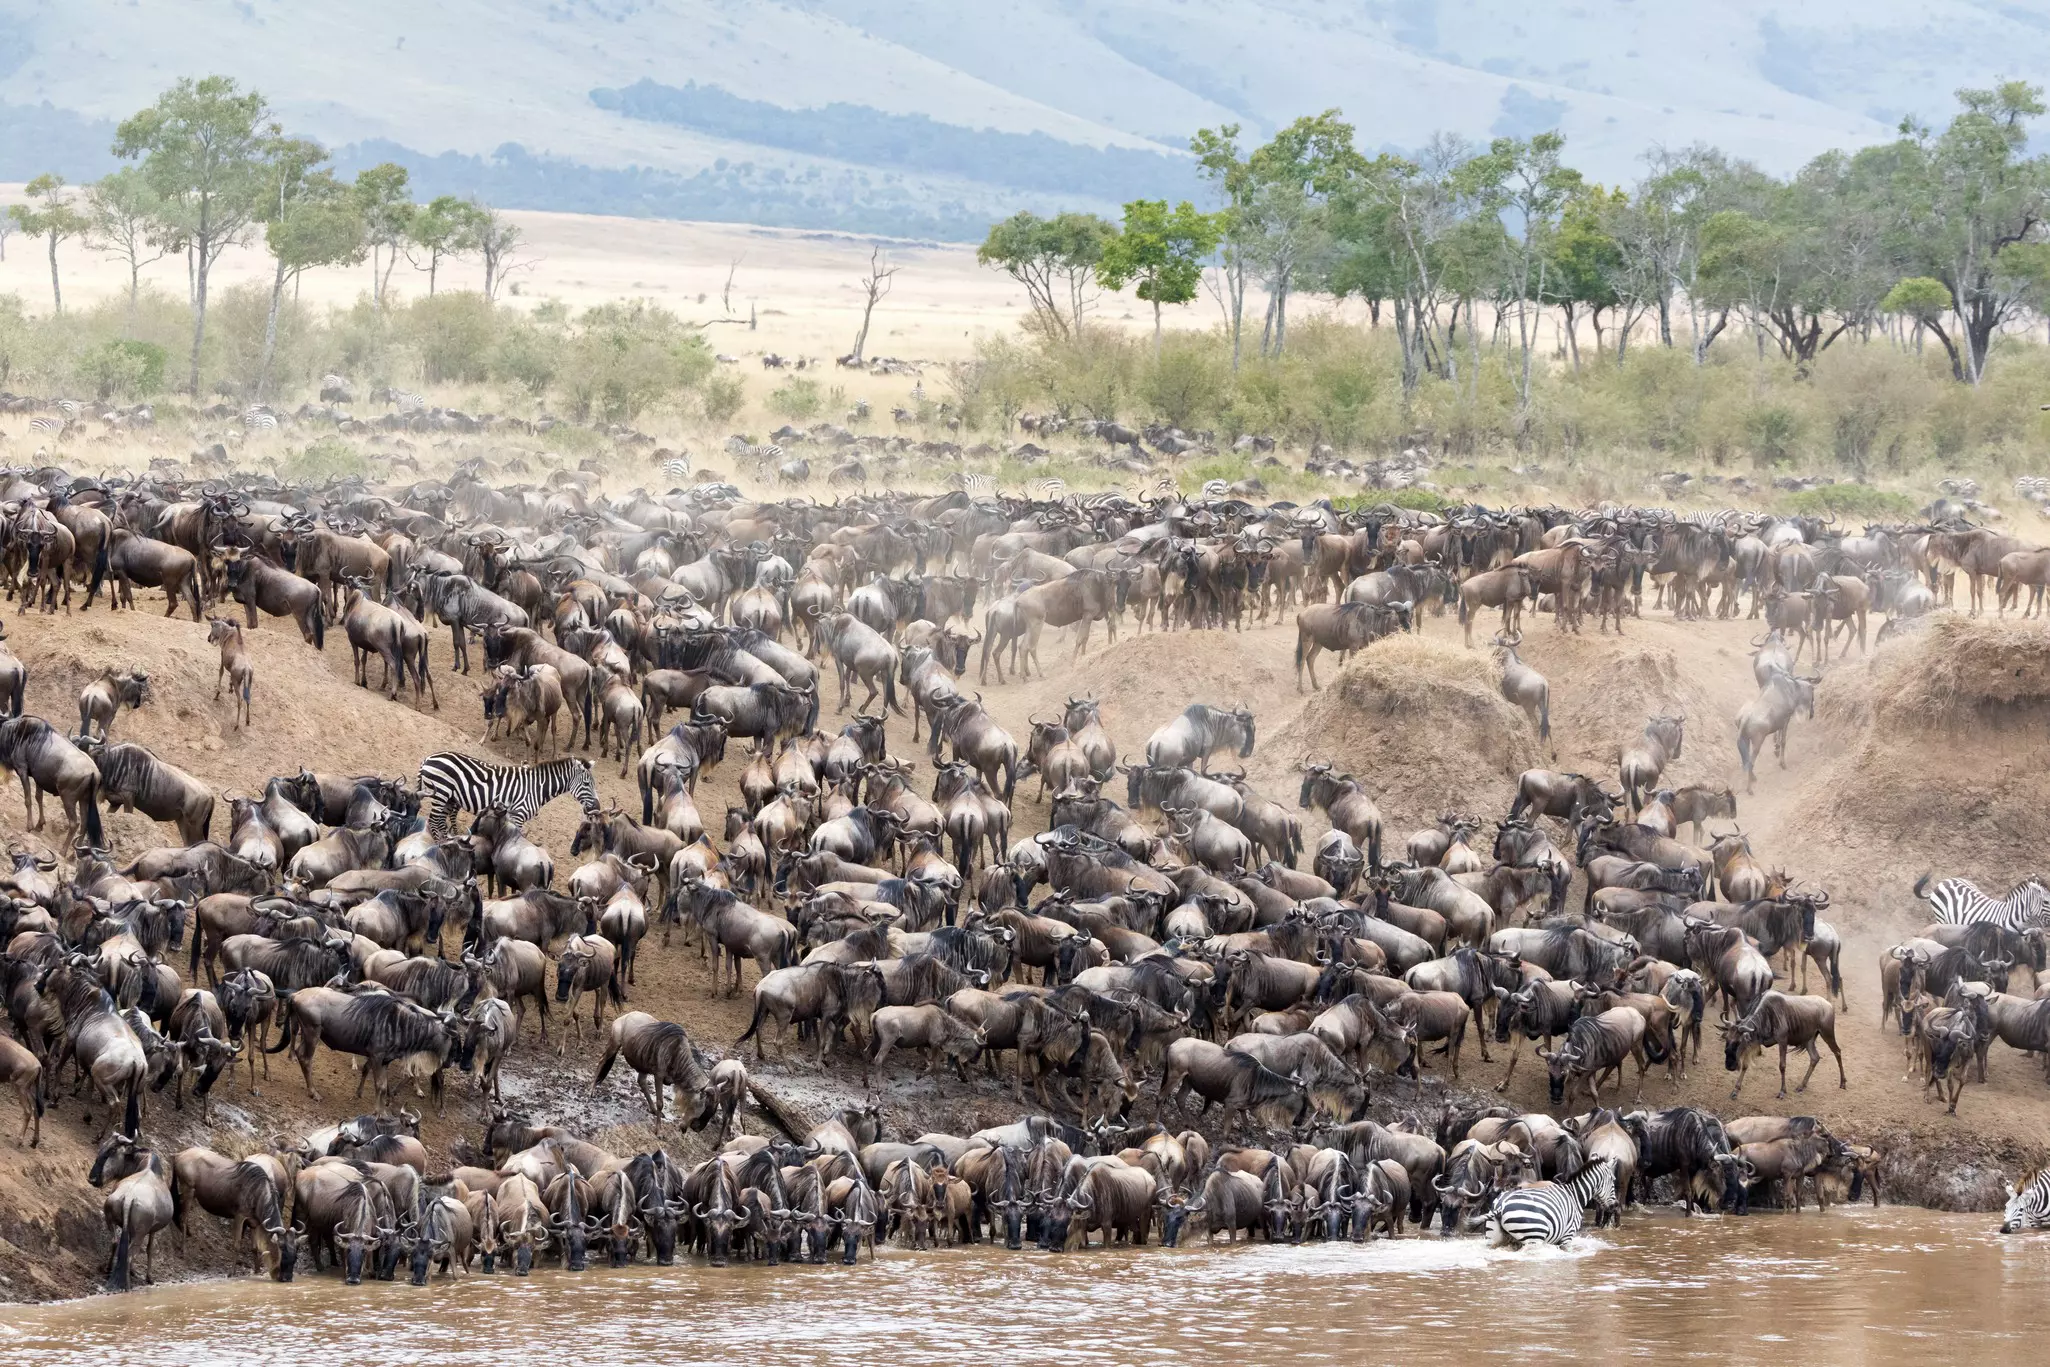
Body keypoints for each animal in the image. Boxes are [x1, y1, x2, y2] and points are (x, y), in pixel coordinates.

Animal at [417, 752, 599, 840]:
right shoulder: (518, 815)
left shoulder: (511, 815)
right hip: (441, 793)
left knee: (440, 821)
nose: (597, 808)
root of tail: (428, 758)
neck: (537, 788)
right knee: (433, 821)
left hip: (448, 797)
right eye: (586, 784)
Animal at [1488, 1157, 1616, 1248]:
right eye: (1613, 1180)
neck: (1574, 1195)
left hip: (1493, 1238)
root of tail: (1501, 1205)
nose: (1614, 1205)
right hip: (1533, 1237)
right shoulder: (1567, 1236)